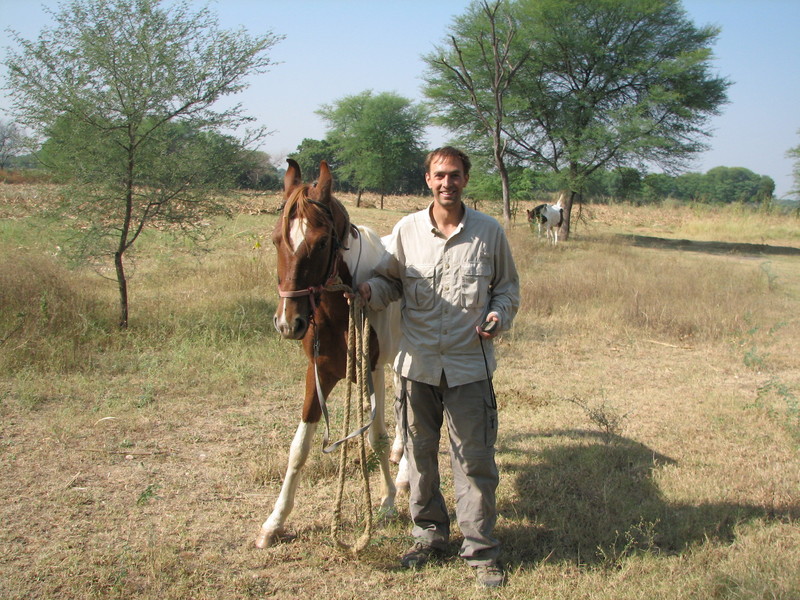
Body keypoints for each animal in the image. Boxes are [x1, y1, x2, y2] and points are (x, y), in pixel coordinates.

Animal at [256, 158, 406, 548]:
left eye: (322, 241)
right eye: (275, 238)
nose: (288, 323)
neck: (341, 303)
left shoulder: (371, 371)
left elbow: (375, 437)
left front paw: (387, 501)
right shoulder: (319, 372)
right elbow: (298, 448)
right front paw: (274, 522)